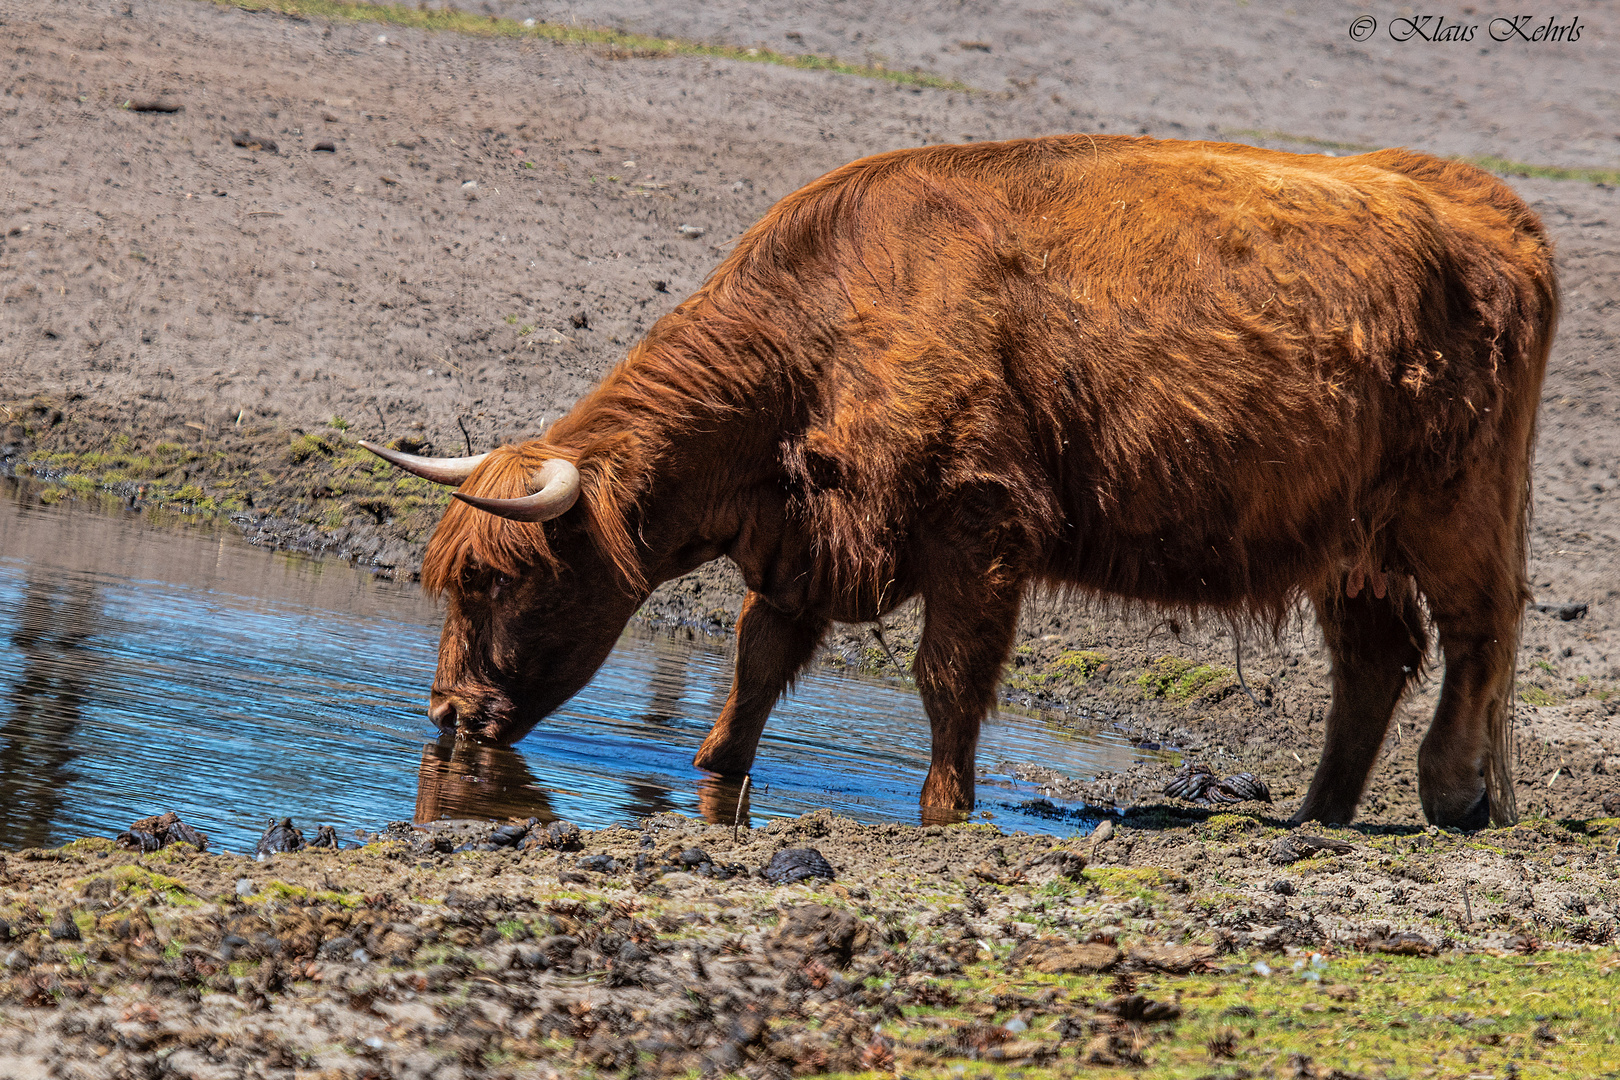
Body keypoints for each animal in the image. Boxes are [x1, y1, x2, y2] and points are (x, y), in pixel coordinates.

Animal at [367, 132, 1555, 829]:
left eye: (501, 580)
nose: (448, 714)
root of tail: (1493, 206)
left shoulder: (977, 523)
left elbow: (946, 677)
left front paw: (944, 810)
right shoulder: (808, 538)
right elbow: (757, 664)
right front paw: (715, 774)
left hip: (1455, 503)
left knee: (1481, 625)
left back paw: (1454, 792)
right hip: (1346, 535)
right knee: (1377, 654)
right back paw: (1315, 814)